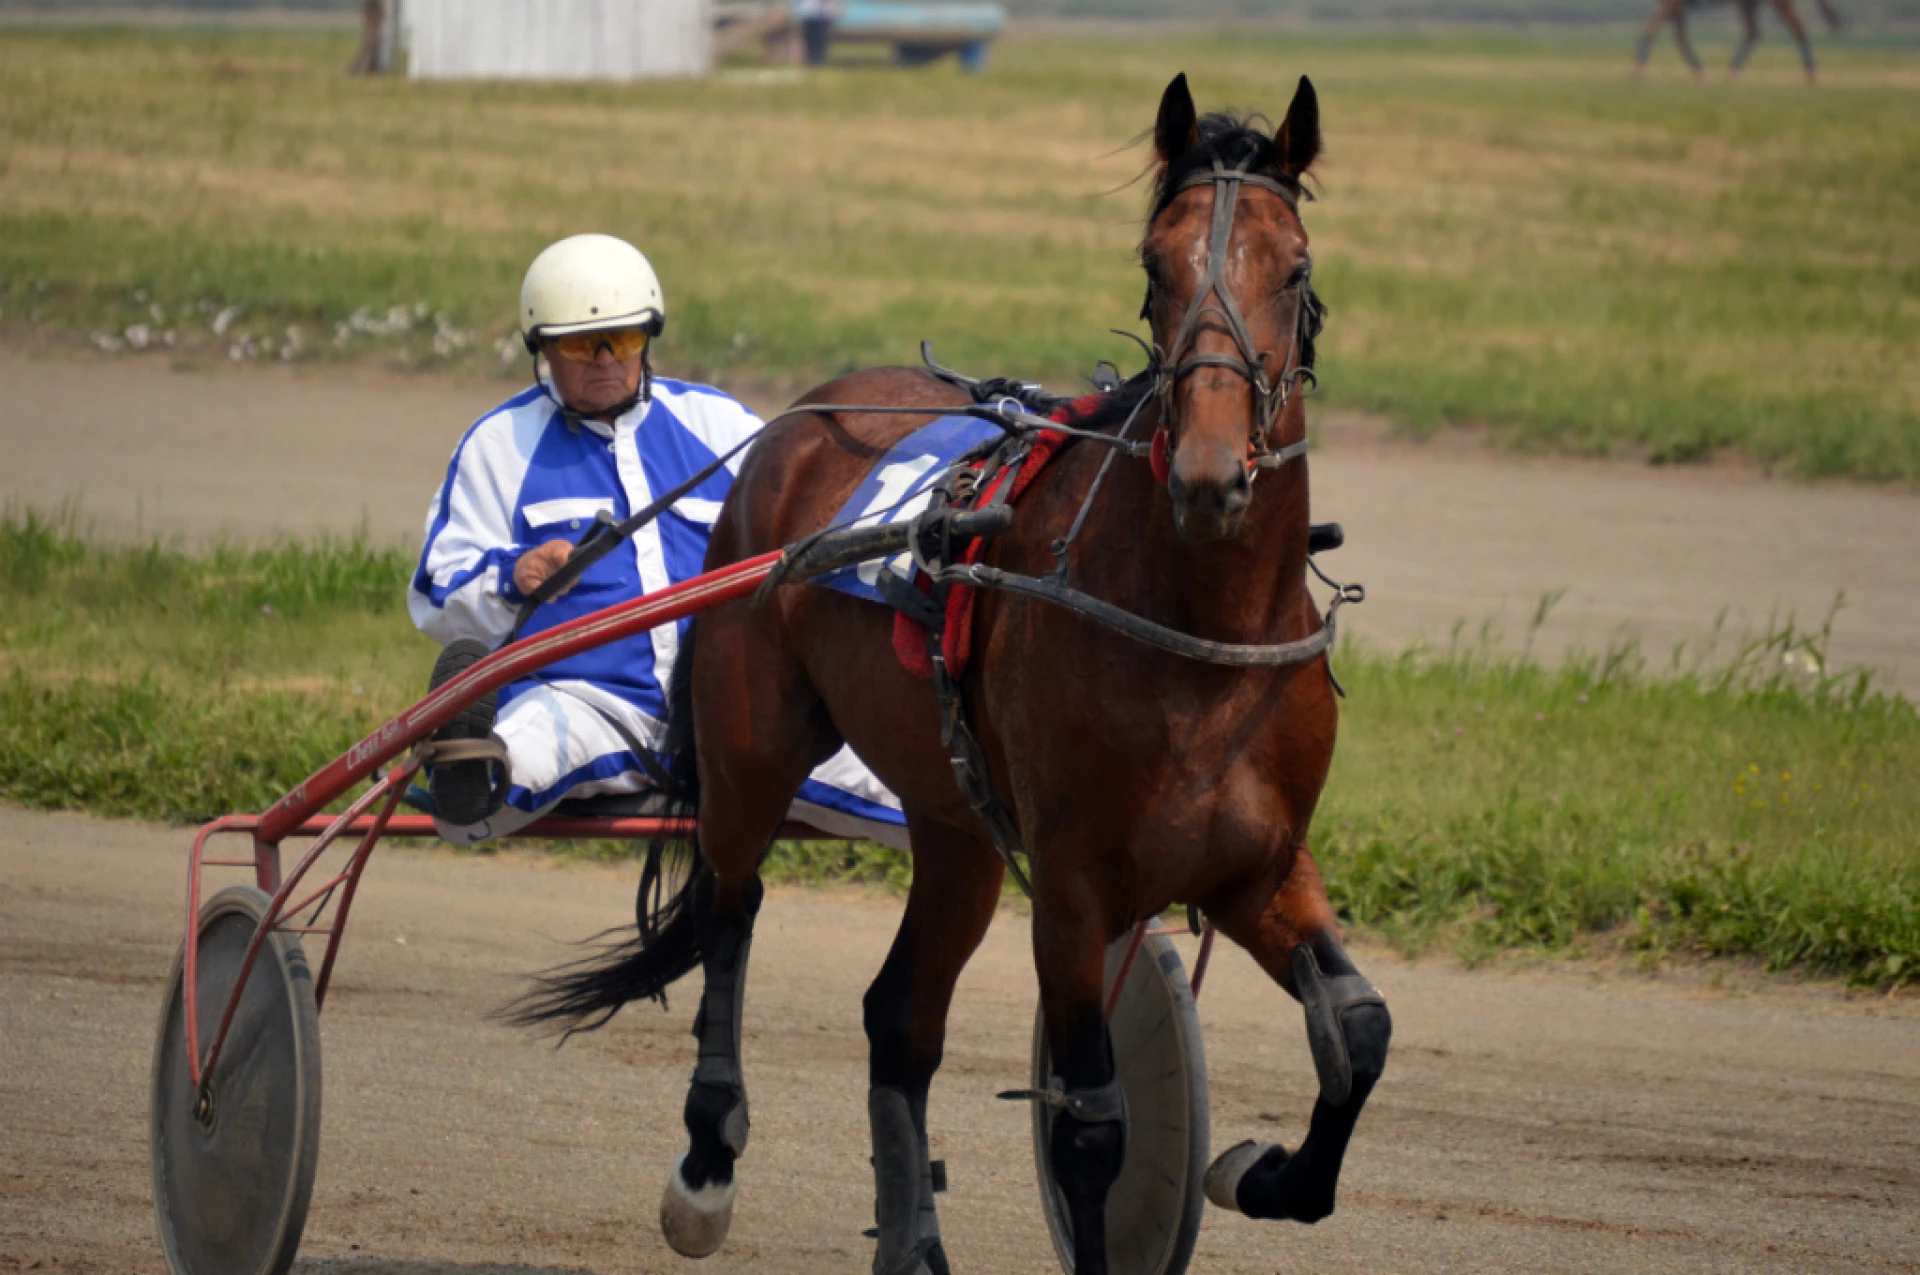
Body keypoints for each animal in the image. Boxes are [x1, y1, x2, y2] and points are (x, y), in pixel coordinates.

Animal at [522, 72, 1397, 1275]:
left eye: (1296, 267)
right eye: (1153, 267)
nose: (1212, 475)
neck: (1197, 633)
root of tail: (799, 422)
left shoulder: (1259, 867)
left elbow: (1358, 1030)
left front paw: (1259, 1171)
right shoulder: (1073, 887)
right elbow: (1091, 1124)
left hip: (956, 828)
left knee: (899, 1016)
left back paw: (911, 1240)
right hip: (754, 748)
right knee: (727, 906)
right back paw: (706, 1167)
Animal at [1635, 0, 1843, 80]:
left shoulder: (1672, 4)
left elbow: (1651, 30)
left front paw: (1637, 71)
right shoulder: (1675, 6)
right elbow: (1680, 38)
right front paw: (1698, 72)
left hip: (1775, 2)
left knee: (1798, 29)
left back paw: (1811, 76)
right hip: (1748, 4)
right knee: (1753, 32)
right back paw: (1730, 74)